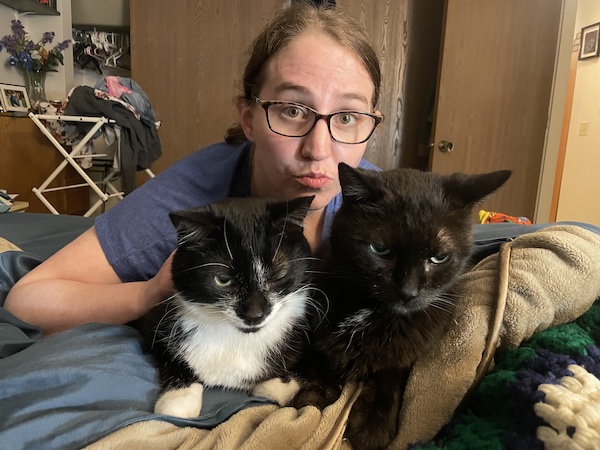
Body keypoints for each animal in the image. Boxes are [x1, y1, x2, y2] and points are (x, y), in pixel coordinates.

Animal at [139, 197, 316, 418]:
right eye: (223, 280)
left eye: (278, 275)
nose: (255, 314)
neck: (237, 338)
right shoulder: (154, 321)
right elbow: (171, 358)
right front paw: (178, 398)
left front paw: (277, 386)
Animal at [292, 164, 508, 450]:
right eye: (379, 249)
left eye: (439, 257)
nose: (408, 292)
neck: (373, 311)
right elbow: (320, 358)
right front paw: (316, 392)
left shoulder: (409, 351)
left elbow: (390, 377)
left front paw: (373, 424)